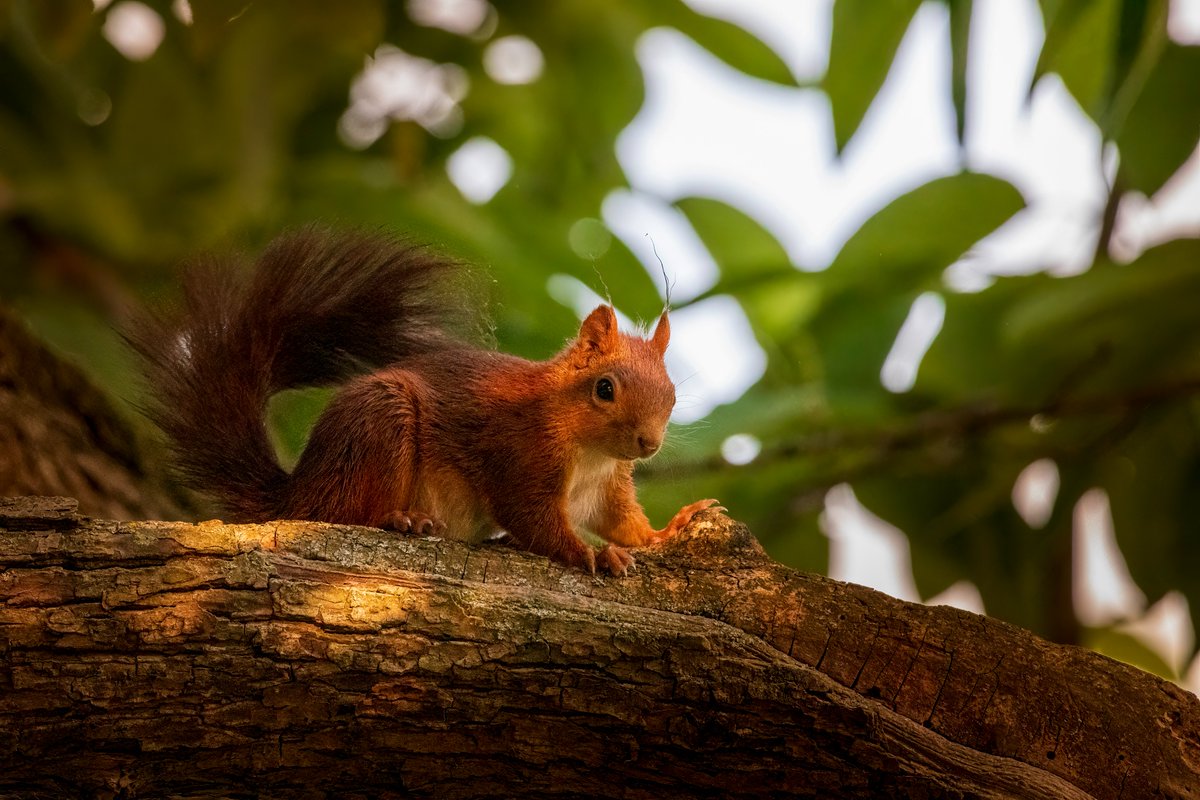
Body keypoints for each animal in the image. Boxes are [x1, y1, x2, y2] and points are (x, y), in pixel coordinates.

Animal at [126, 226, 715, 575]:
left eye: (672, 394)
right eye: (604, 388)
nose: (648, 443)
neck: (589, 452)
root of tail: (297, 495)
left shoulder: (608, 488)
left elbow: (625, 522)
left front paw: (671, 528)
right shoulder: (519, 455)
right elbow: (535, 520)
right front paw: (589, 553)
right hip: (378, 426)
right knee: (345, 515)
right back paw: (399, 520)